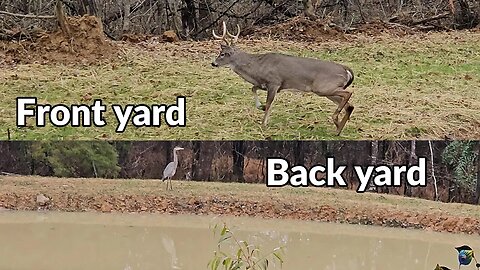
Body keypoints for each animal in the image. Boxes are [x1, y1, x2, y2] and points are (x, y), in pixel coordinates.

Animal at [212, 21, 354, 135]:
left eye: (223, 54)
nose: (213, 63)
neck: (257, 67)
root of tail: (346, 70)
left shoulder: (274, 83)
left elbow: (269, 103)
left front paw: (263, 123)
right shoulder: (264, 84)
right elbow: (253, 89)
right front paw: (260, 107)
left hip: (323, 88)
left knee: (348, 93)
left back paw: (336, 119)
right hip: (327, 90)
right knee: (349, 105)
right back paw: (337, 129)